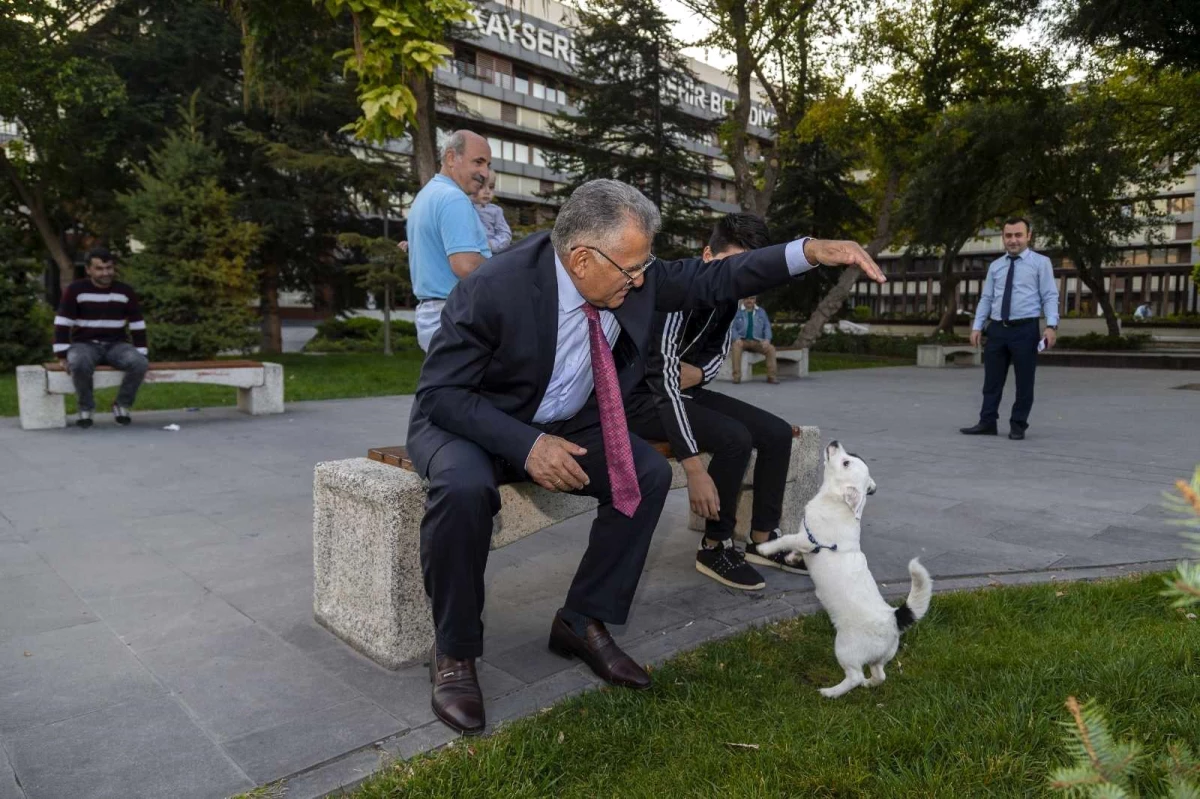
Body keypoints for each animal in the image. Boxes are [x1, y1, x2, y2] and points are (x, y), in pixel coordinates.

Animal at [753, 441, 931, 695]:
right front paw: (791, 558)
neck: (836, 502)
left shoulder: (806, 539)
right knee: (879, 675)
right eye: (851, 456)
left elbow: (786, 539)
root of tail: (893, 618)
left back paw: (830, 692)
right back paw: (868, 684)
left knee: (854, 676)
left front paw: (765, 548)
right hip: (880, 658)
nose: (835, 442)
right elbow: (795, 549)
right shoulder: (805, 542)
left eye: (846, 462)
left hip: (846, 649)